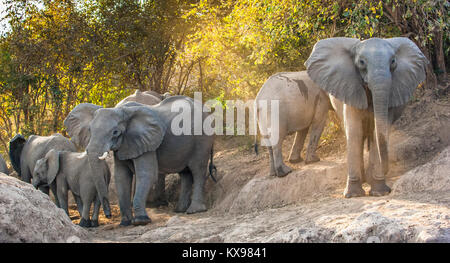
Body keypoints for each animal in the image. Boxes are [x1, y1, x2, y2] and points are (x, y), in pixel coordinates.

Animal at [64, 97, 216, 227]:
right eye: (90, 130)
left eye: (115, 132)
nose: (108, 215)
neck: (122, 112)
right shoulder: (125, 144)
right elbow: (121, 177)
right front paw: (125, 223)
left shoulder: (146, 141)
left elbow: (146, 174)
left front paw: (141, 221)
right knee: (185, 174)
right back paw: (180, 210)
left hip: (202, 139)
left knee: (197, 170)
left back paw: (194, 210)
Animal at [304, 37, 428, 198]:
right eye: (361, 62)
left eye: (393, 61)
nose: (386, 170)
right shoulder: (351, 89)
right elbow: (355, 132)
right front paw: (353, 195)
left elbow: (378, 131)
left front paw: (379, 192)